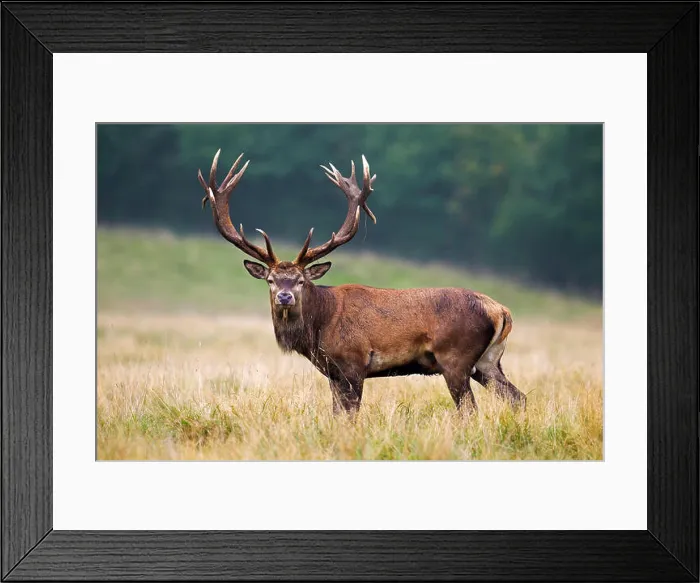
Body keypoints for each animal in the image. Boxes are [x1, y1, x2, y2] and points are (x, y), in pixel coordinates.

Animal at [198, 149, 527, 418]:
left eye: (301, 280)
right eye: (270, 279)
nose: (285, 297)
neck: (320, 327)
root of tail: (502, 311)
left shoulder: (354, 362)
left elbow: (350, 415)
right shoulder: (333, 373)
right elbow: (336, 414)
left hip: (455, 357)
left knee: (469, 409)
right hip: (488, 362)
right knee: (517, 398)